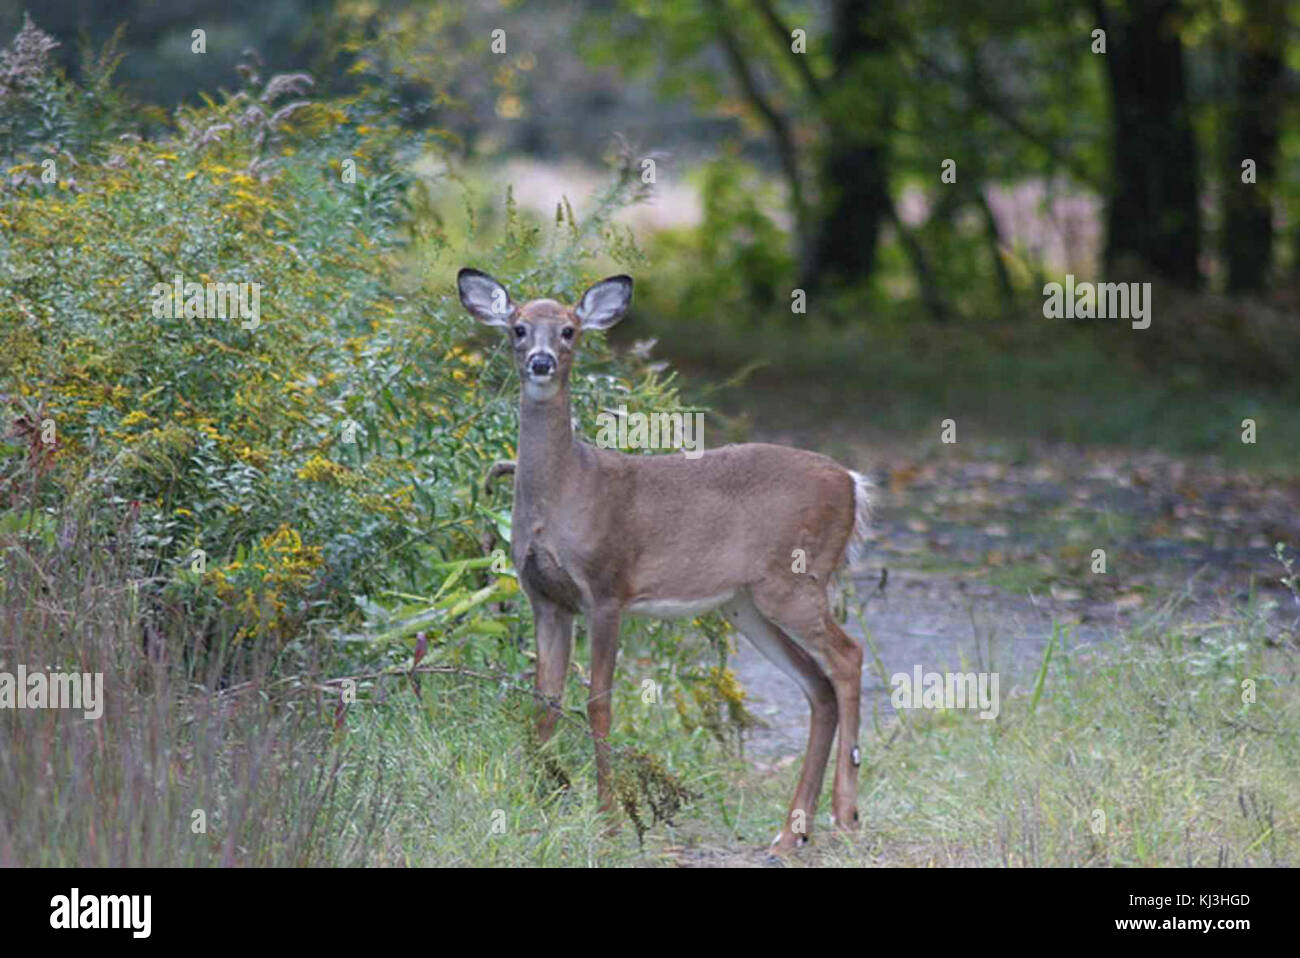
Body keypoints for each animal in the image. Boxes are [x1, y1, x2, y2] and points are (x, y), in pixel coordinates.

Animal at [457, 267, 873, 852]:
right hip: (746, 604)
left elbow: (599, 703)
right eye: (517, 328)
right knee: (819, 687)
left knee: (848, 657)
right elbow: (545, 700)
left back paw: (845, 814)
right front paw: (535, 801)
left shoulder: (608, 588)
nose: (540, 361)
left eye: (568, 331)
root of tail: (853, 483)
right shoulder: (545, 598)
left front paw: (608, 819)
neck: (565, 492)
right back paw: (790, 834)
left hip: (794, 579)